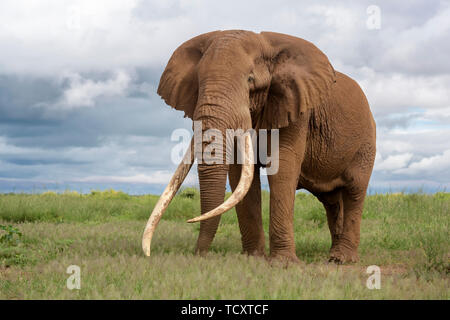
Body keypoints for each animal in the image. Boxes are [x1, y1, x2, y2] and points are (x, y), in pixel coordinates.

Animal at [142, 30, 376, 264]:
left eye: (250, 80)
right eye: (198, 83)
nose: (199, 255)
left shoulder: (297, 110)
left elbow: (282, 168)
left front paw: (282, 263)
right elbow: (240, 174)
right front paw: (253, 258)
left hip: (366, 142)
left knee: (354, 190)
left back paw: (343, 259)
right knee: (332, 200)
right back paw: (333, 257)